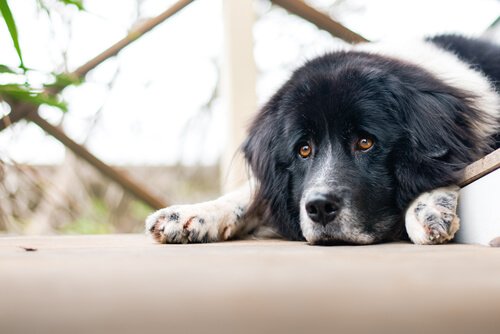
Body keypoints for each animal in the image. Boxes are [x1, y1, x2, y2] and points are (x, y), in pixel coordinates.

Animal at [146, 36, 498, 245]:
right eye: (304, 149)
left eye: (365, 142)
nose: (319, 208)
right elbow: (250, 194)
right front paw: (189, 214)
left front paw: (427, 210)